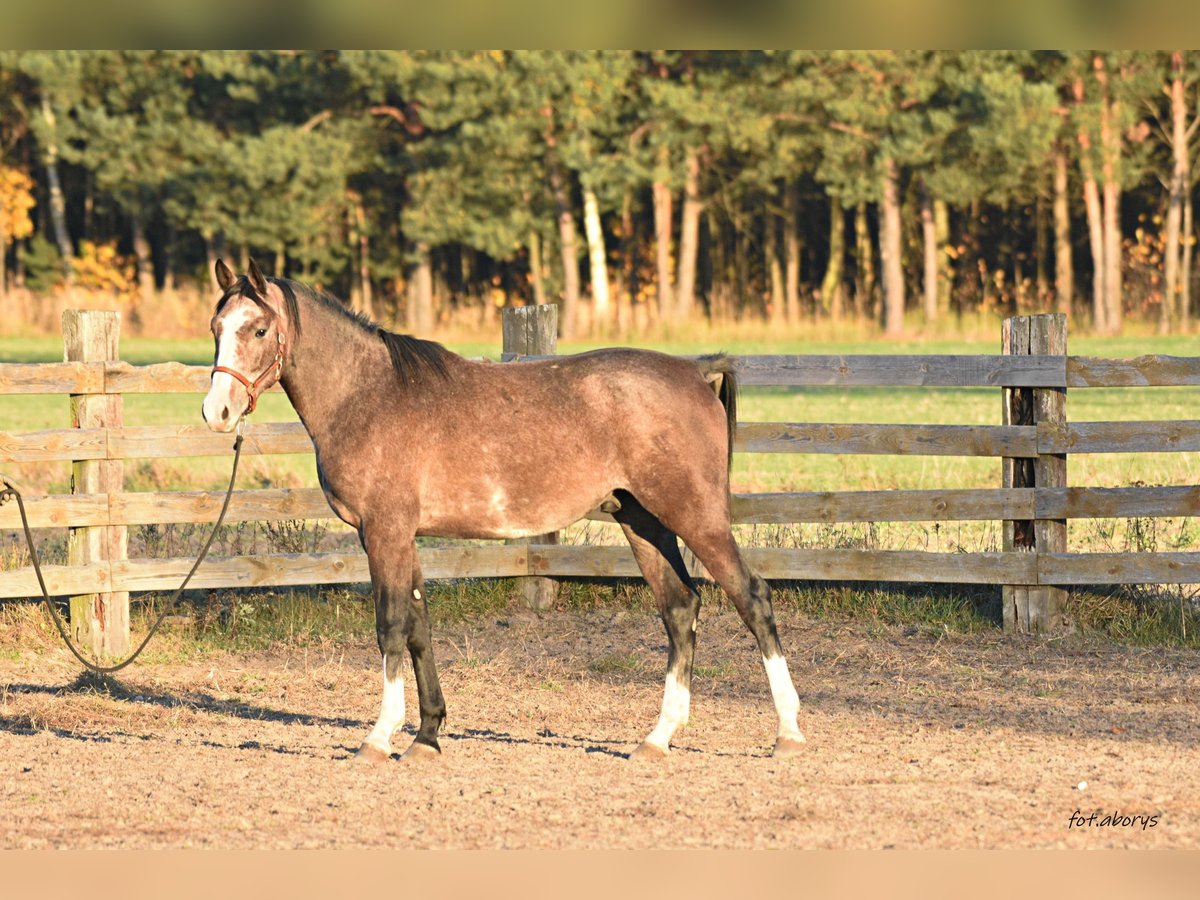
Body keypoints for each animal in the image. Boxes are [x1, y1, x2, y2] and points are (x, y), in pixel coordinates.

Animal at [204, 259, 806, 763]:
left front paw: (379, 738)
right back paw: (657, 739)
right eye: (216, 328)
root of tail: (695, 373)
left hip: (695, 517)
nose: (217, 413)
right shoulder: (404, 537)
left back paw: (788, 733)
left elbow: (391, 626)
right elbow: (419, 627)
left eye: (258, 330)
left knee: (753, 599)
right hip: (643, 521)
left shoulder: (384, 532)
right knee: (681, 610)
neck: (369, 395)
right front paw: (427, 736)